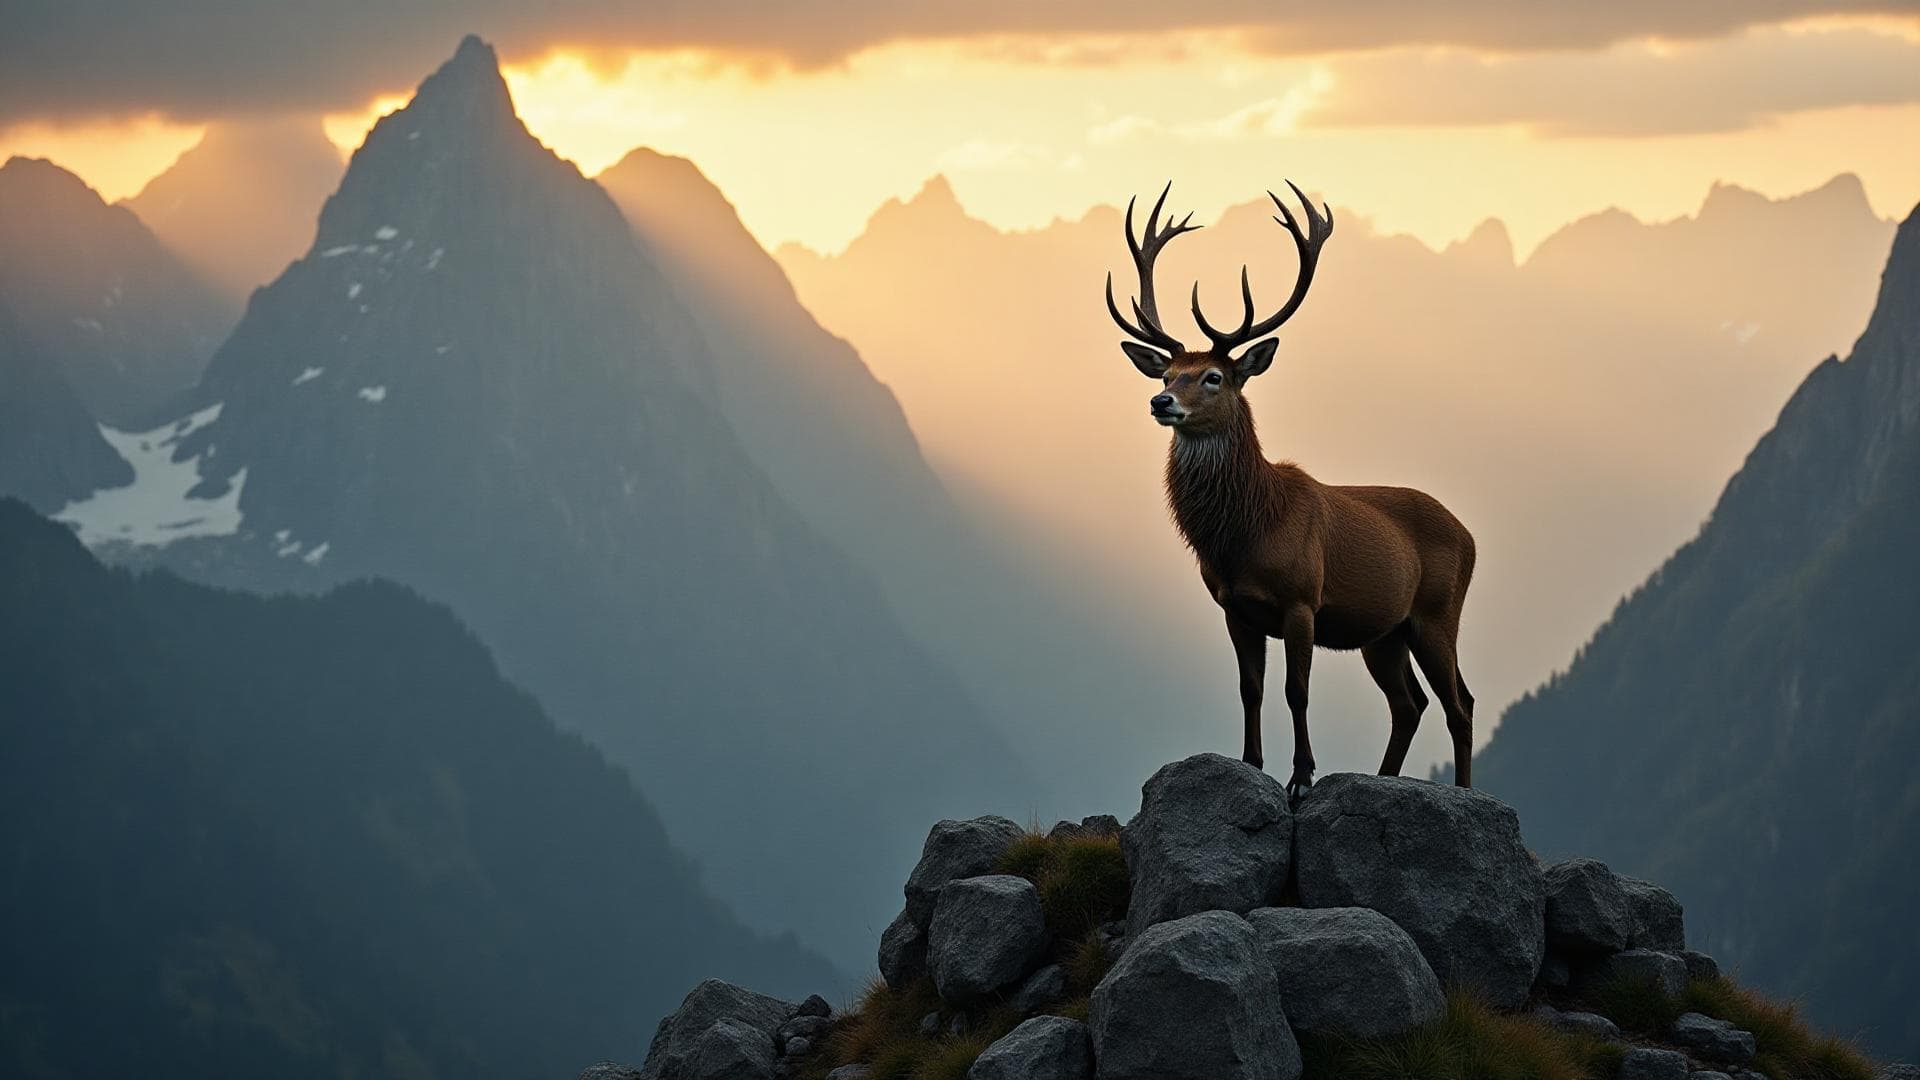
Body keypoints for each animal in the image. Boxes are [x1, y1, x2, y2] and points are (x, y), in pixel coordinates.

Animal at [1106, 182, 1479, 802]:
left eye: (1214, 377)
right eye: (1166, 374)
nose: (1161, 402)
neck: (1247, 532)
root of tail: (1471, 535)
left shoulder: (1303, 599)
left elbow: (1295, 691)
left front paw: (1302, 777)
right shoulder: (1234, 607)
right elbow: (1250, 689)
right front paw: (1252, 763)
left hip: (1437, 611)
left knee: (1460, 703)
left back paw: (1467, 791)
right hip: (1385, 632)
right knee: (1410, 703)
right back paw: (1383, 778)